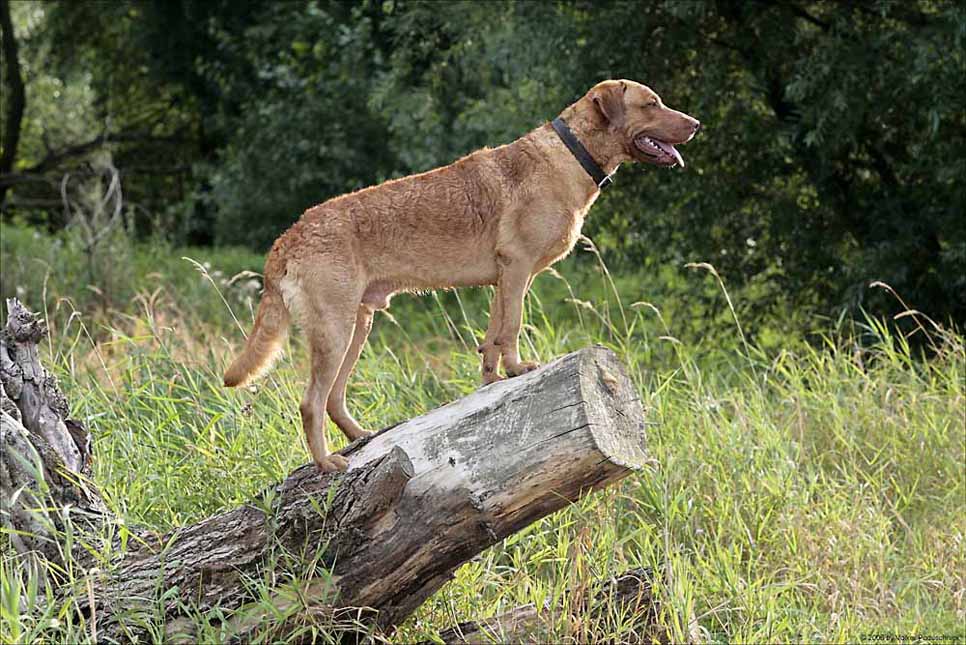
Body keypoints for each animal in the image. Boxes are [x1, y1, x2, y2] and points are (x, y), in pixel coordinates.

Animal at [223, 79, 700, 472]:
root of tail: (288, 237)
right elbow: (512, 327)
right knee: (311, 402)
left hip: (357, 325)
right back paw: (327, 464)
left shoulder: (504, 278)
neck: (571, 155)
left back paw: (363, 438)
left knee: (335, 399)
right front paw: (518, 369)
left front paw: (492, 379)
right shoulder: (517, 266)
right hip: (335, 329)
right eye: (652, 103)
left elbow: (493, 334)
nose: (696, 124)